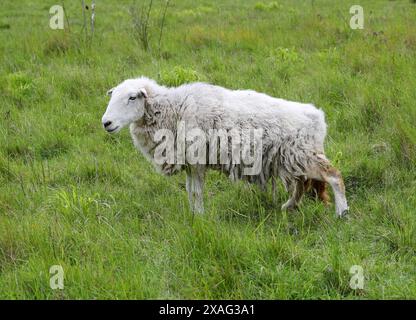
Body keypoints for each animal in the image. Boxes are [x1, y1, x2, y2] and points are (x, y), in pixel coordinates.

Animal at [102, 77, 350, 216]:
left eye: (132, 97)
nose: (106, 123)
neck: (173, 109)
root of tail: (317, 115)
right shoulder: (190, 163)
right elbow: (190, 191)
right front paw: (193, 215)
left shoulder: (197, 160)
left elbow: (196, 192)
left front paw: (199, 217)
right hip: (290, 159)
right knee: (300, 184)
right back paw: (288, 207)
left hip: (303, 154)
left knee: (334, 175)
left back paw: (342, 212)